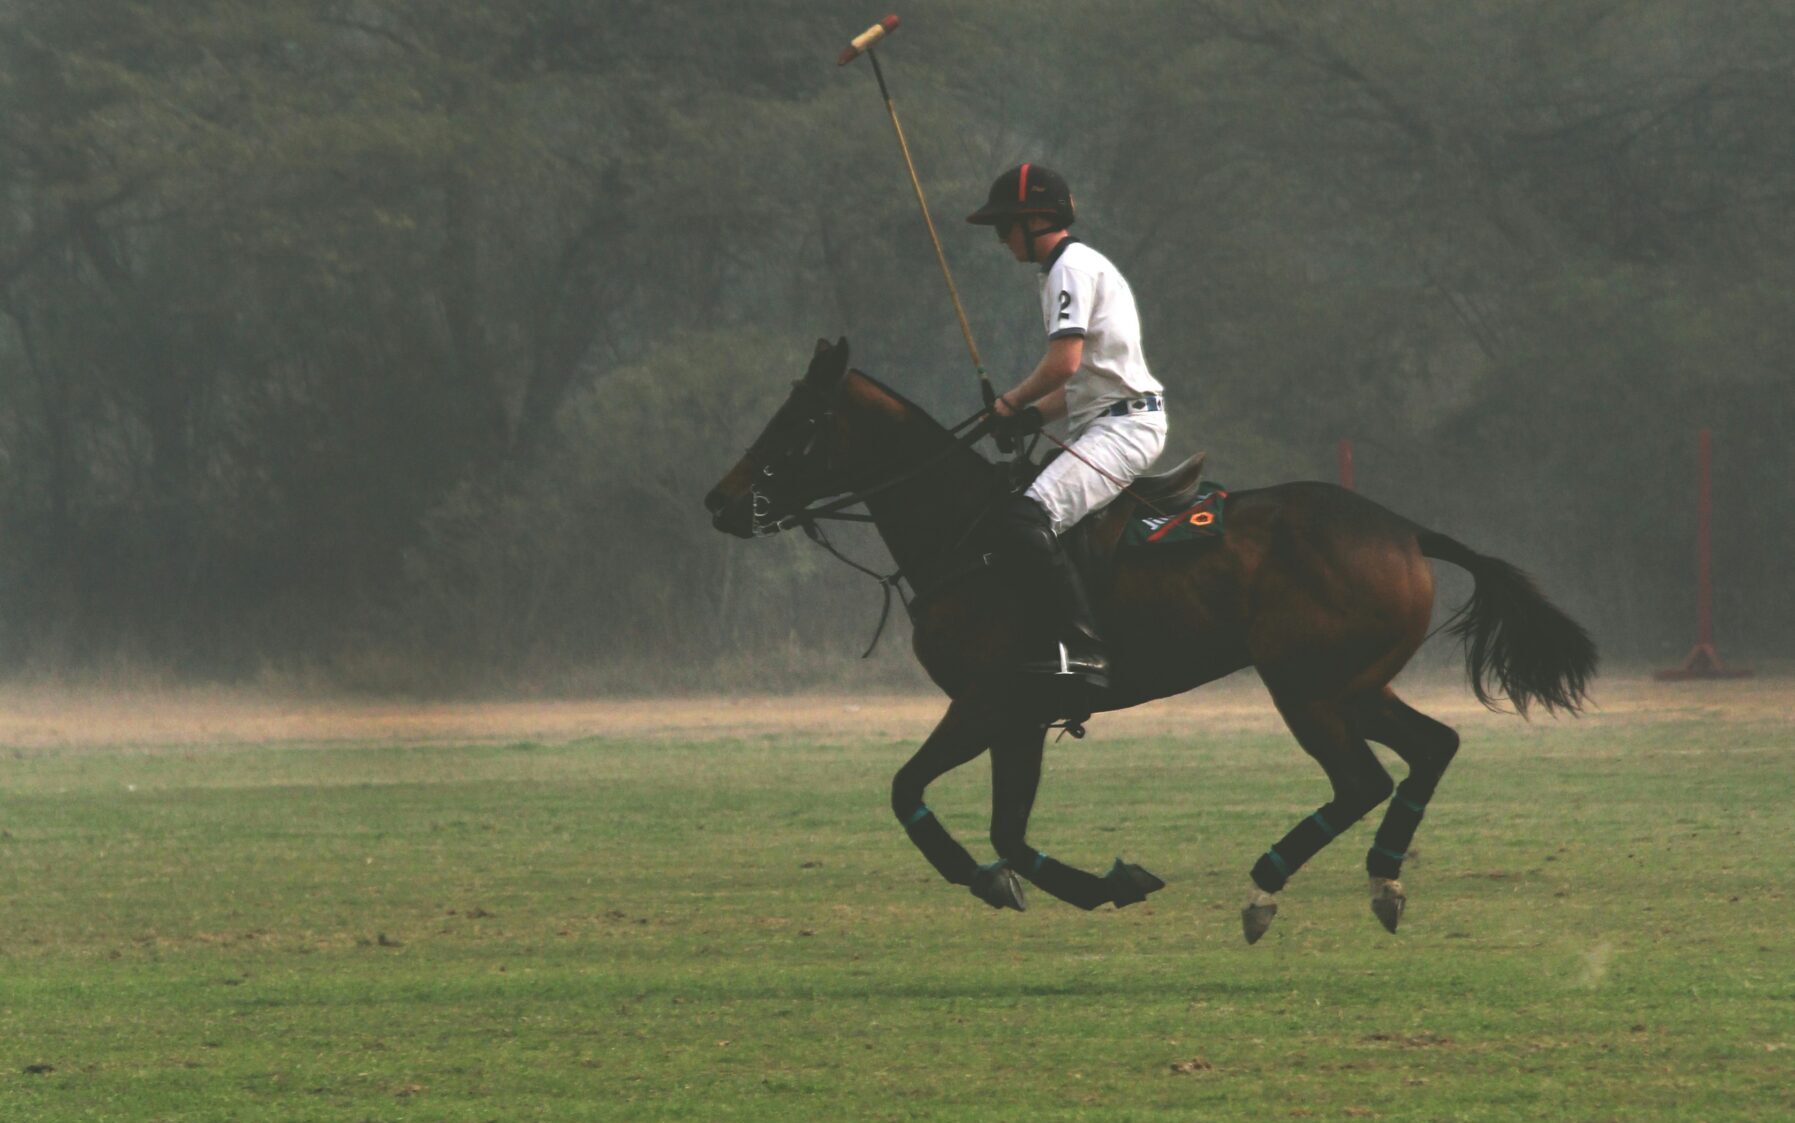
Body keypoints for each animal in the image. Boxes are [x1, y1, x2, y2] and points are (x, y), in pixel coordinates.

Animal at [703, 339, 1601, 932]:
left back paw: (1265, 885)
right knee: (1431, 745)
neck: (966, 535)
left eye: (798, 419)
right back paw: (1382, 879)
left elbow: (910, 793)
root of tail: (1409, 531)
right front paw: (1106, 881)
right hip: (1354, 680)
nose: (721, 501)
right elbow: (1004, 827)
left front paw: (998, 882)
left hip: (1302, 683)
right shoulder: (1018, 716)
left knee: (1361, 779)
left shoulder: (989, 702)